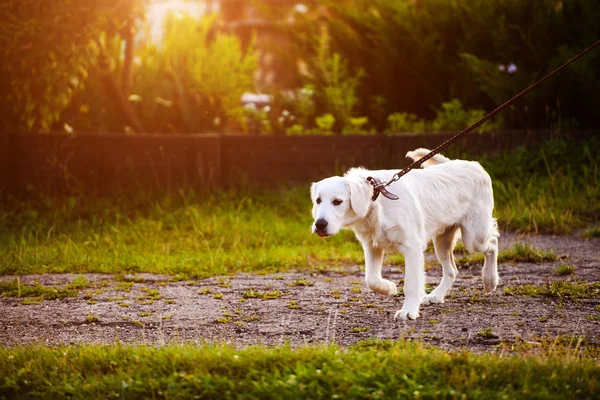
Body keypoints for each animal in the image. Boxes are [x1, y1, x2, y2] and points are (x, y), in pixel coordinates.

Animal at [312, 148, 500, 320]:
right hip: (442, 241)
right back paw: (436, 296)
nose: (319, 225)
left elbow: (411, 284)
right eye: (318, 200)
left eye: (337, 201)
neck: (377, 200)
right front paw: (389, 288)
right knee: (452, 270)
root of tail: (473, 165)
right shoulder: (372, 246)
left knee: (493, 243)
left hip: (475, 237)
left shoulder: (412, 247)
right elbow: (371, 279)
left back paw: (490, 280)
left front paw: (408, 311)